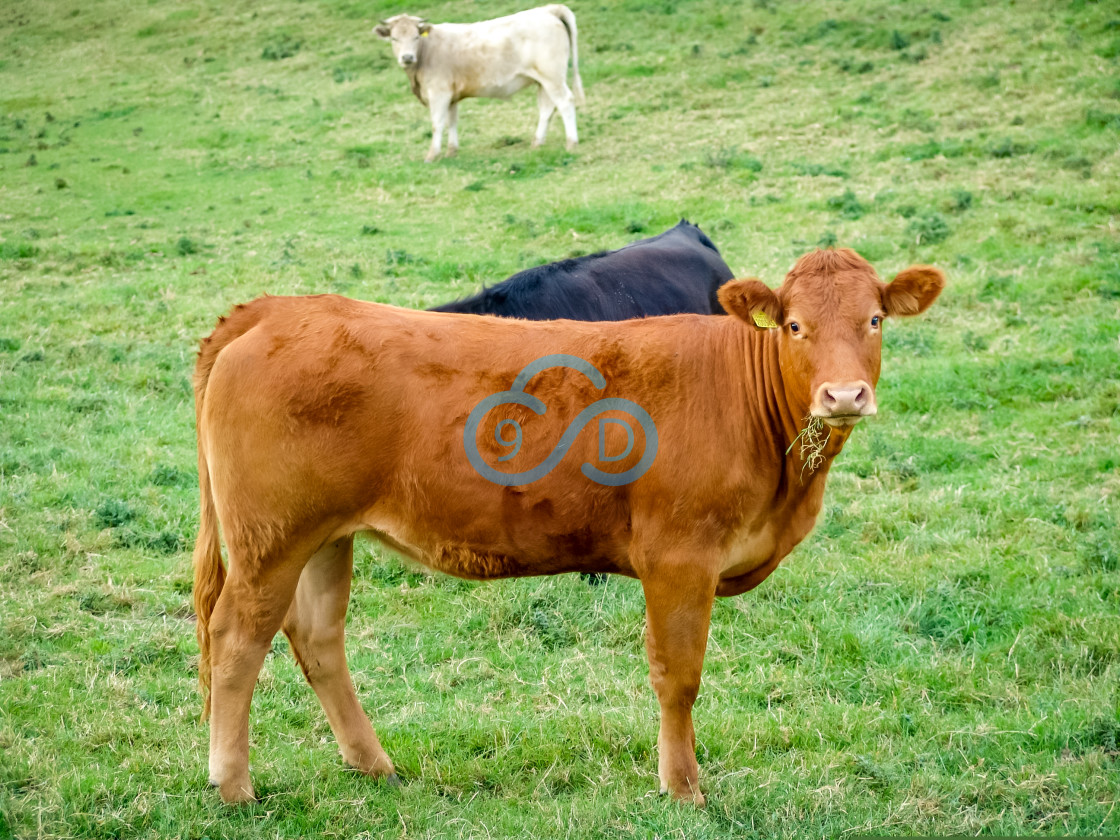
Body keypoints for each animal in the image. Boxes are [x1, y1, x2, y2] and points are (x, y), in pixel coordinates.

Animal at [194, 252, 945, 810]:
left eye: (874, 318)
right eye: (793, 325)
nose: (843, 396)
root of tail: (282, 308)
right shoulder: (679, 557)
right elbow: (679, 676)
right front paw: (683, 789)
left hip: (325, 536)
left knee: (317, 638)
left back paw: (373, 765)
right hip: (271, 538)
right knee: (235, 639)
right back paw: (233, 786)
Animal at [376, 4, 586, 162]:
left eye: (416, 36)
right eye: (394, 38)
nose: (407, 57)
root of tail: (548, 9)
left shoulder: (438, 93)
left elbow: (437, 123)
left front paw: (431, 155)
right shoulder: (451, 96)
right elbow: (452, 122)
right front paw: (452, 151)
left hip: (552, 77)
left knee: (565, 102)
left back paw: (571, 143)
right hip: (543, 80)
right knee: (547, 108)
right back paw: (537, 143)